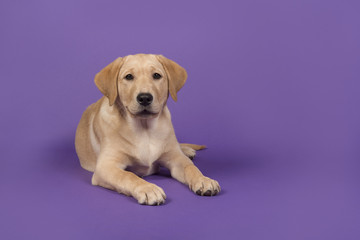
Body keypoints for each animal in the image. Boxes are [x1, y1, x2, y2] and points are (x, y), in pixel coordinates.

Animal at [75, 54, 221, 204]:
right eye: (129, 77)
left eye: (156, 75)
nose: (144, 98)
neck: (144, 129)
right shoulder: (106, 167)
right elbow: (128, 175)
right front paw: (148, 189)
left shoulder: (176, 159)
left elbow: (190, 167)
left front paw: (203, 180)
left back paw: (187, 150)